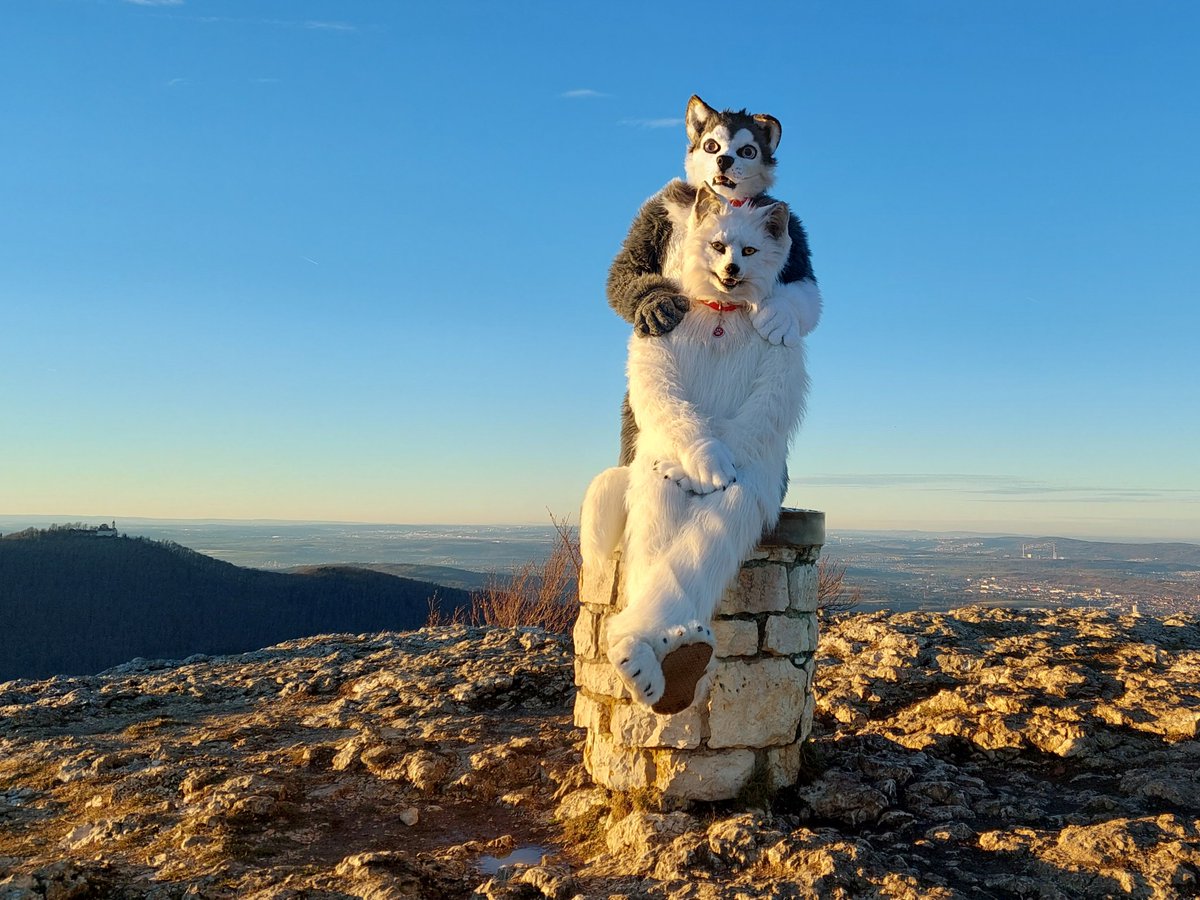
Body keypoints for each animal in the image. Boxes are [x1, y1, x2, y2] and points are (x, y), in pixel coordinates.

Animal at [582, 185, 809, 714]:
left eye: (749, 250)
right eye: (718, 245)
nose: (732, 270)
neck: (721, 315)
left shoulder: (779, 370)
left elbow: (761, 410)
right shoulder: (658, 364)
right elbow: (667, 401)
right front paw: (705, 463)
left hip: (749, 493)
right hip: (653, 474)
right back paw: (644, 654)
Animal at [608, 95, 822, 465]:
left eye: (748, 151)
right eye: (711, 145)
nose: (724, 159)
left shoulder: (795, 232)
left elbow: (807, 290)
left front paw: (777, 317)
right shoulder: (654, 214)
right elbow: (624, 271)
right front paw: (655, 305)